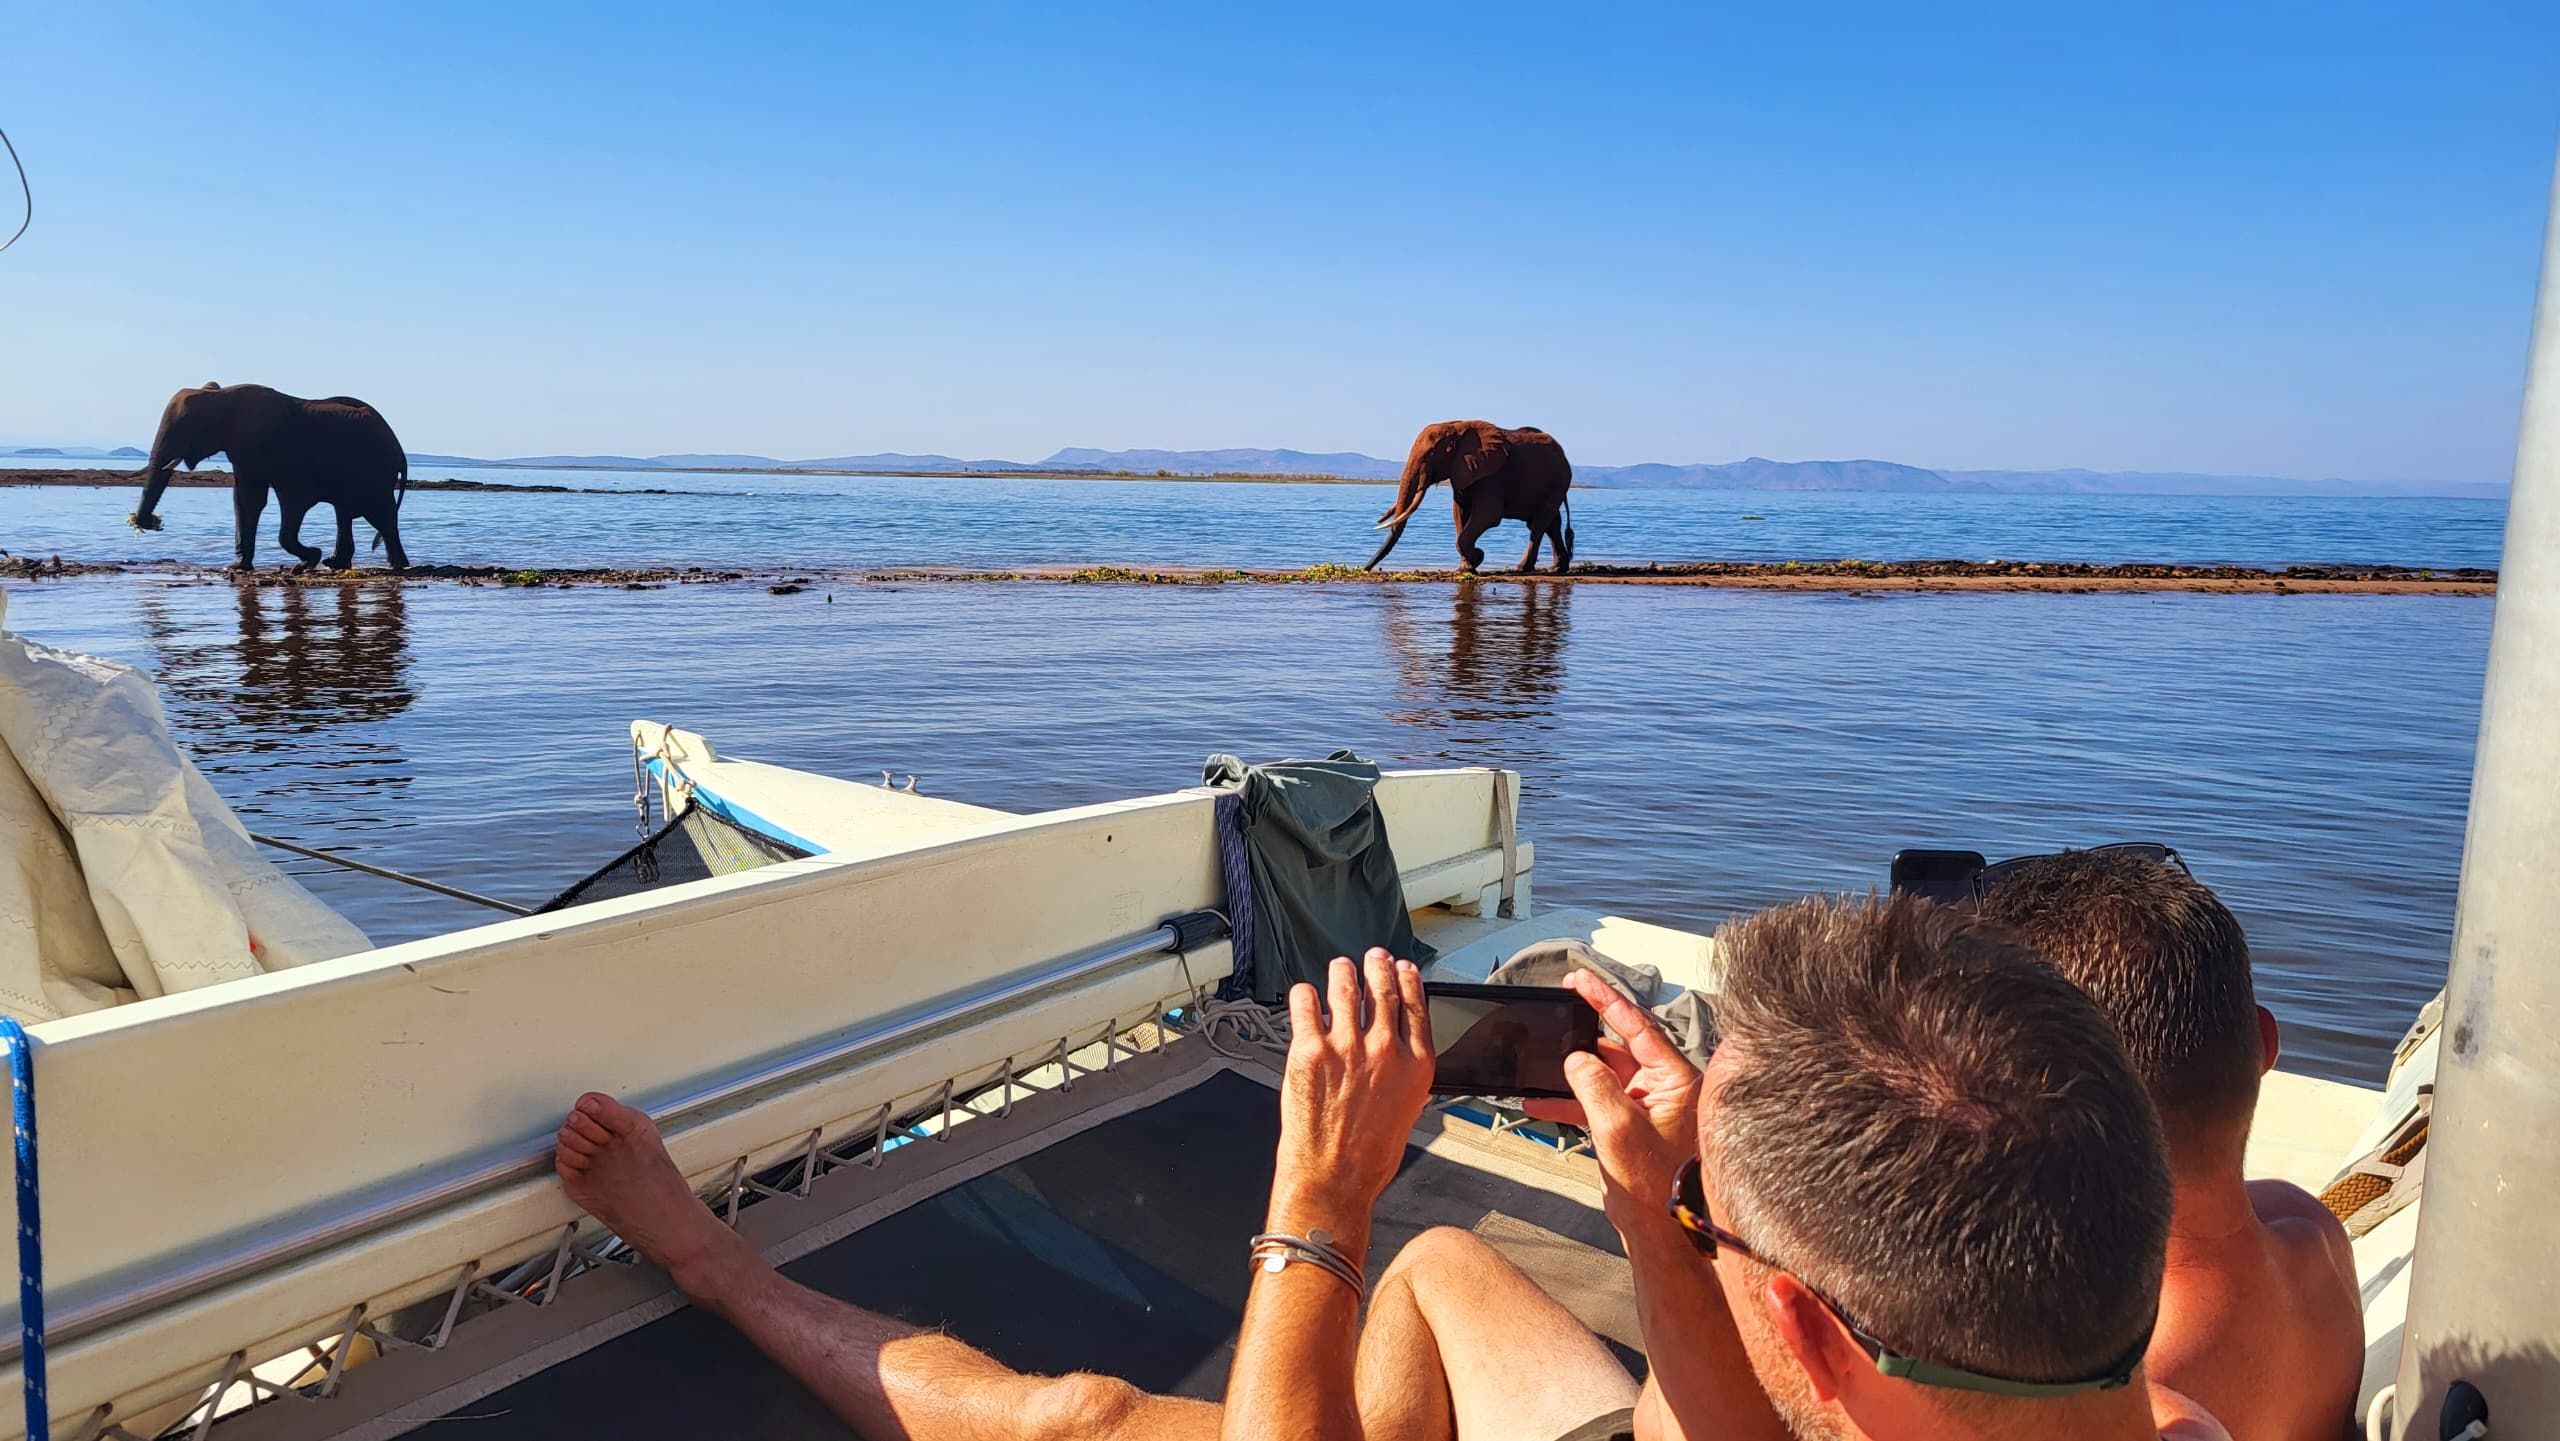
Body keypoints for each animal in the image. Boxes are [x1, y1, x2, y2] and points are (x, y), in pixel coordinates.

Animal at [131, 382, 412, 572]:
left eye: (186, 426)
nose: (145, 523)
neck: (220, 396)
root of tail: (400, 451)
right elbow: (246, 500)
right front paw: (237, 567)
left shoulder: (266, 448)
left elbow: (285, 500)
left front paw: (309, 559)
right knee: (346, 512)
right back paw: (336, 563)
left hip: (374, 471)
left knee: (380, 514)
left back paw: (396, 566)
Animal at [1364, 420, 1575, 574]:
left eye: (1431, 453)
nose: (1366, 569)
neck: (1456, 427)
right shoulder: (1463, 471)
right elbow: (1459, 513)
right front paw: (1467, 567)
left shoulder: (1491, 475)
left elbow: (1488, 515)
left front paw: (1478, 557)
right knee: (1552, 524)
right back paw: (1557, 568)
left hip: (1559, 481)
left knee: (1538, 525)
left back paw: (1522, 568)